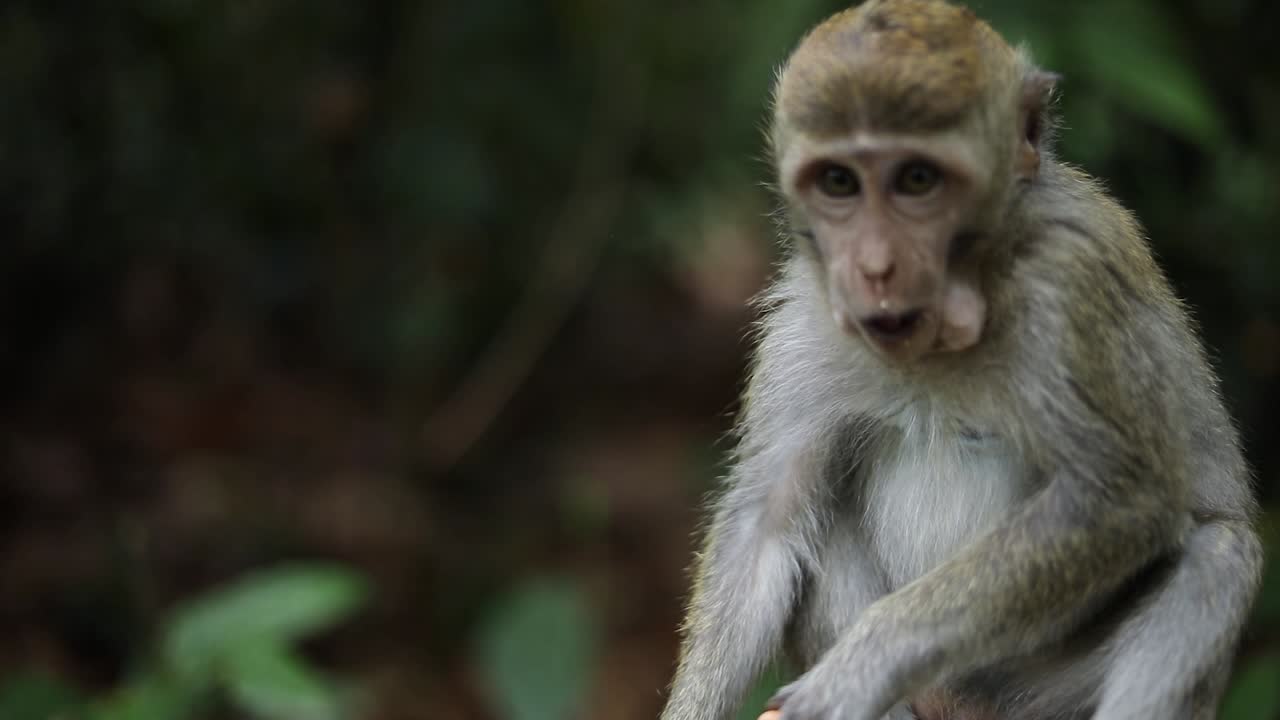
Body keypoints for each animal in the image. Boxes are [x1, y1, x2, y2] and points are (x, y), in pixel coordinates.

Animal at [658, 1, 1263, 719]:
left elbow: (1120, 499)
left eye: (918, 180)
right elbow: (767, 527)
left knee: (1217, 557)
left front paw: (862, 665)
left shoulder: (1069, 286)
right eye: (839, 182)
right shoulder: (803, 322)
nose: (875, 267)